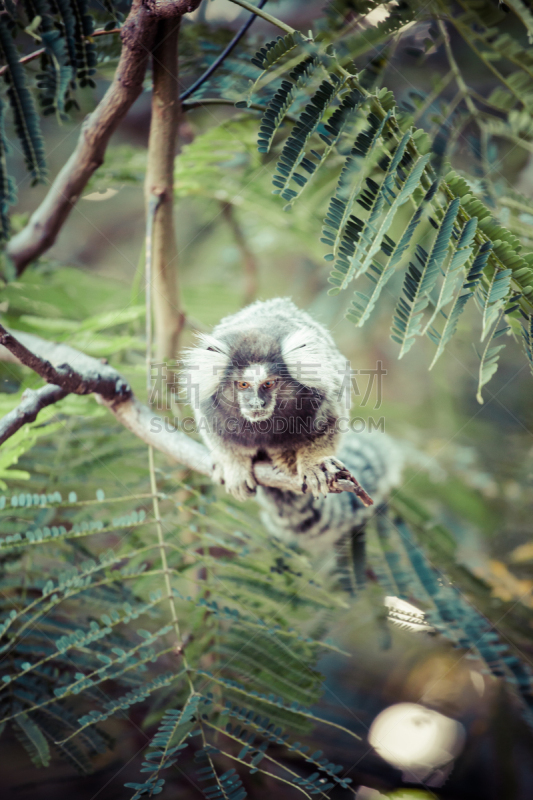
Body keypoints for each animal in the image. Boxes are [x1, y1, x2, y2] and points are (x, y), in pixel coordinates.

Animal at [183, 296, 382, 504]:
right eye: (243, 384)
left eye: (269, 383)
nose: (256, 403)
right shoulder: (211, 411)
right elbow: (220, 439)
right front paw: (234, 466)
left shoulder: (323, 399)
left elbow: (328, 425)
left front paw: (312, 463)